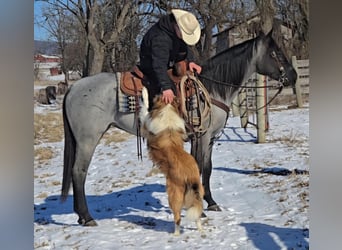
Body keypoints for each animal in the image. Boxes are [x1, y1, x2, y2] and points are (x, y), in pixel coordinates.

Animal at [140, 89, 204, 235]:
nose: (161, 92)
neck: (167, 109)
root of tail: (190, 175)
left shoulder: (146, 125)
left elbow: (145, 109)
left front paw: (144, 92)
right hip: (197, 193)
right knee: (196, 211)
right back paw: (201, 229)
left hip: (174, 195)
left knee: (177, 217)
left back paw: (176, 234)